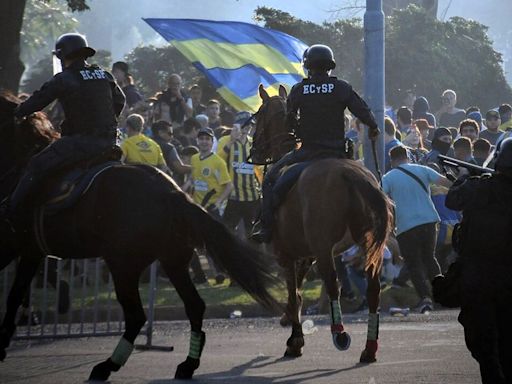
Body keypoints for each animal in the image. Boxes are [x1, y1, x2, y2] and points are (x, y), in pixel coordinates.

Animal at [0, 91, 280, 380]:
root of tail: (172, 193)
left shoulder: (15, 247)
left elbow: (13, 296)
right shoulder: (30, 251)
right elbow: (21, 292)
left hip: (123, 265)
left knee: (136, 315)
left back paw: (107, 365)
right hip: (172, 260)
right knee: (194, 305)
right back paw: (187, 363)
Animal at [251, 85, 392, 364]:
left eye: (259, 114)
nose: (254, 150)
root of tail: (349, 173)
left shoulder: (287, 253)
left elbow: (294, 293)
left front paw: (295, 341)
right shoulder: (307, 253)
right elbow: (297, 291)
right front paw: (288, 319)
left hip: (325, 249)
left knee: (333, 283)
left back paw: (340, 334)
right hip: (370, 248)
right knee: (373, 290)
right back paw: (369, 348)